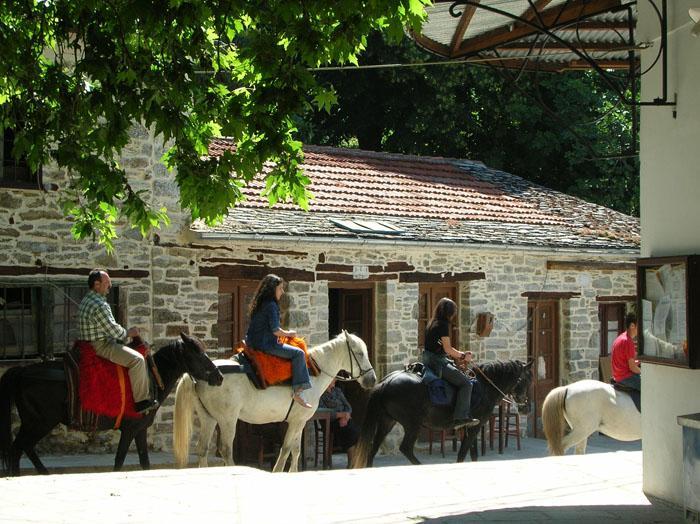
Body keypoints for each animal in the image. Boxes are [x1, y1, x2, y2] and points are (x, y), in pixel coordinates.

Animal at [0, 334, 223, 476]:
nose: (219, 376)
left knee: (23, 448)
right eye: (197, 354)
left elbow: (144, 461)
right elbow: (119, 460)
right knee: (18, 449)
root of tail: (22, 371)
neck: (150, 378)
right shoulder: (129, 429)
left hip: (35, 423)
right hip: (39, 422)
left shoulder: (140, 430)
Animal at [172, 334, 374, 472]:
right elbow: (286, 449)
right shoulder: (296, 422)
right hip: (227, 420)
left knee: (202, 449)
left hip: (209, 418)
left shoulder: (300, 422)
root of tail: (202, 377)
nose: (371, 379)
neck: (313, 373)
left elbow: (296, 450)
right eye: (359, 353)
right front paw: (278, 472)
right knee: (226, 450)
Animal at [352, 360, 532, 466]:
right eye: (527, 380)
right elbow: (462, 454)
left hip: (387, 421)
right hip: (412, 424)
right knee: (406, 448)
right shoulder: (475, 426)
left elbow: (472, 454)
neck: (485, 388)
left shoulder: (468, 428)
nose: (526, 408)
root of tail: (387, 382)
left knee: (373, 449)